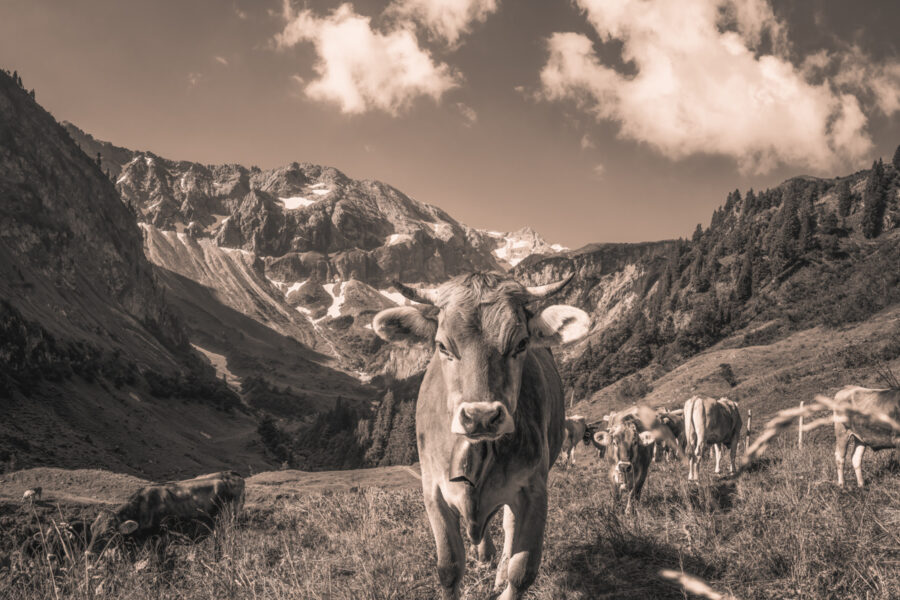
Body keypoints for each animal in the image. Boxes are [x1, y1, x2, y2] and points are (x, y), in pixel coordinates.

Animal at [86, 472, 244, 556]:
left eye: (109, 532)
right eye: (92, 529)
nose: (88, 553)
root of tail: (232, 474)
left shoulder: (161, 540)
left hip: (227, 524)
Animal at [372, 274, 592, 600]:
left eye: (521, 343)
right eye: (442, 346)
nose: (481, 416)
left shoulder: (535, 490)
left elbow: (522, 570)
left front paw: (506, 579)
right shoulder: (433, 490)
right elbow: (449, 568)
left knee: (509, 527)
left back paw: (497, 570)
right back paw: (483, 552)